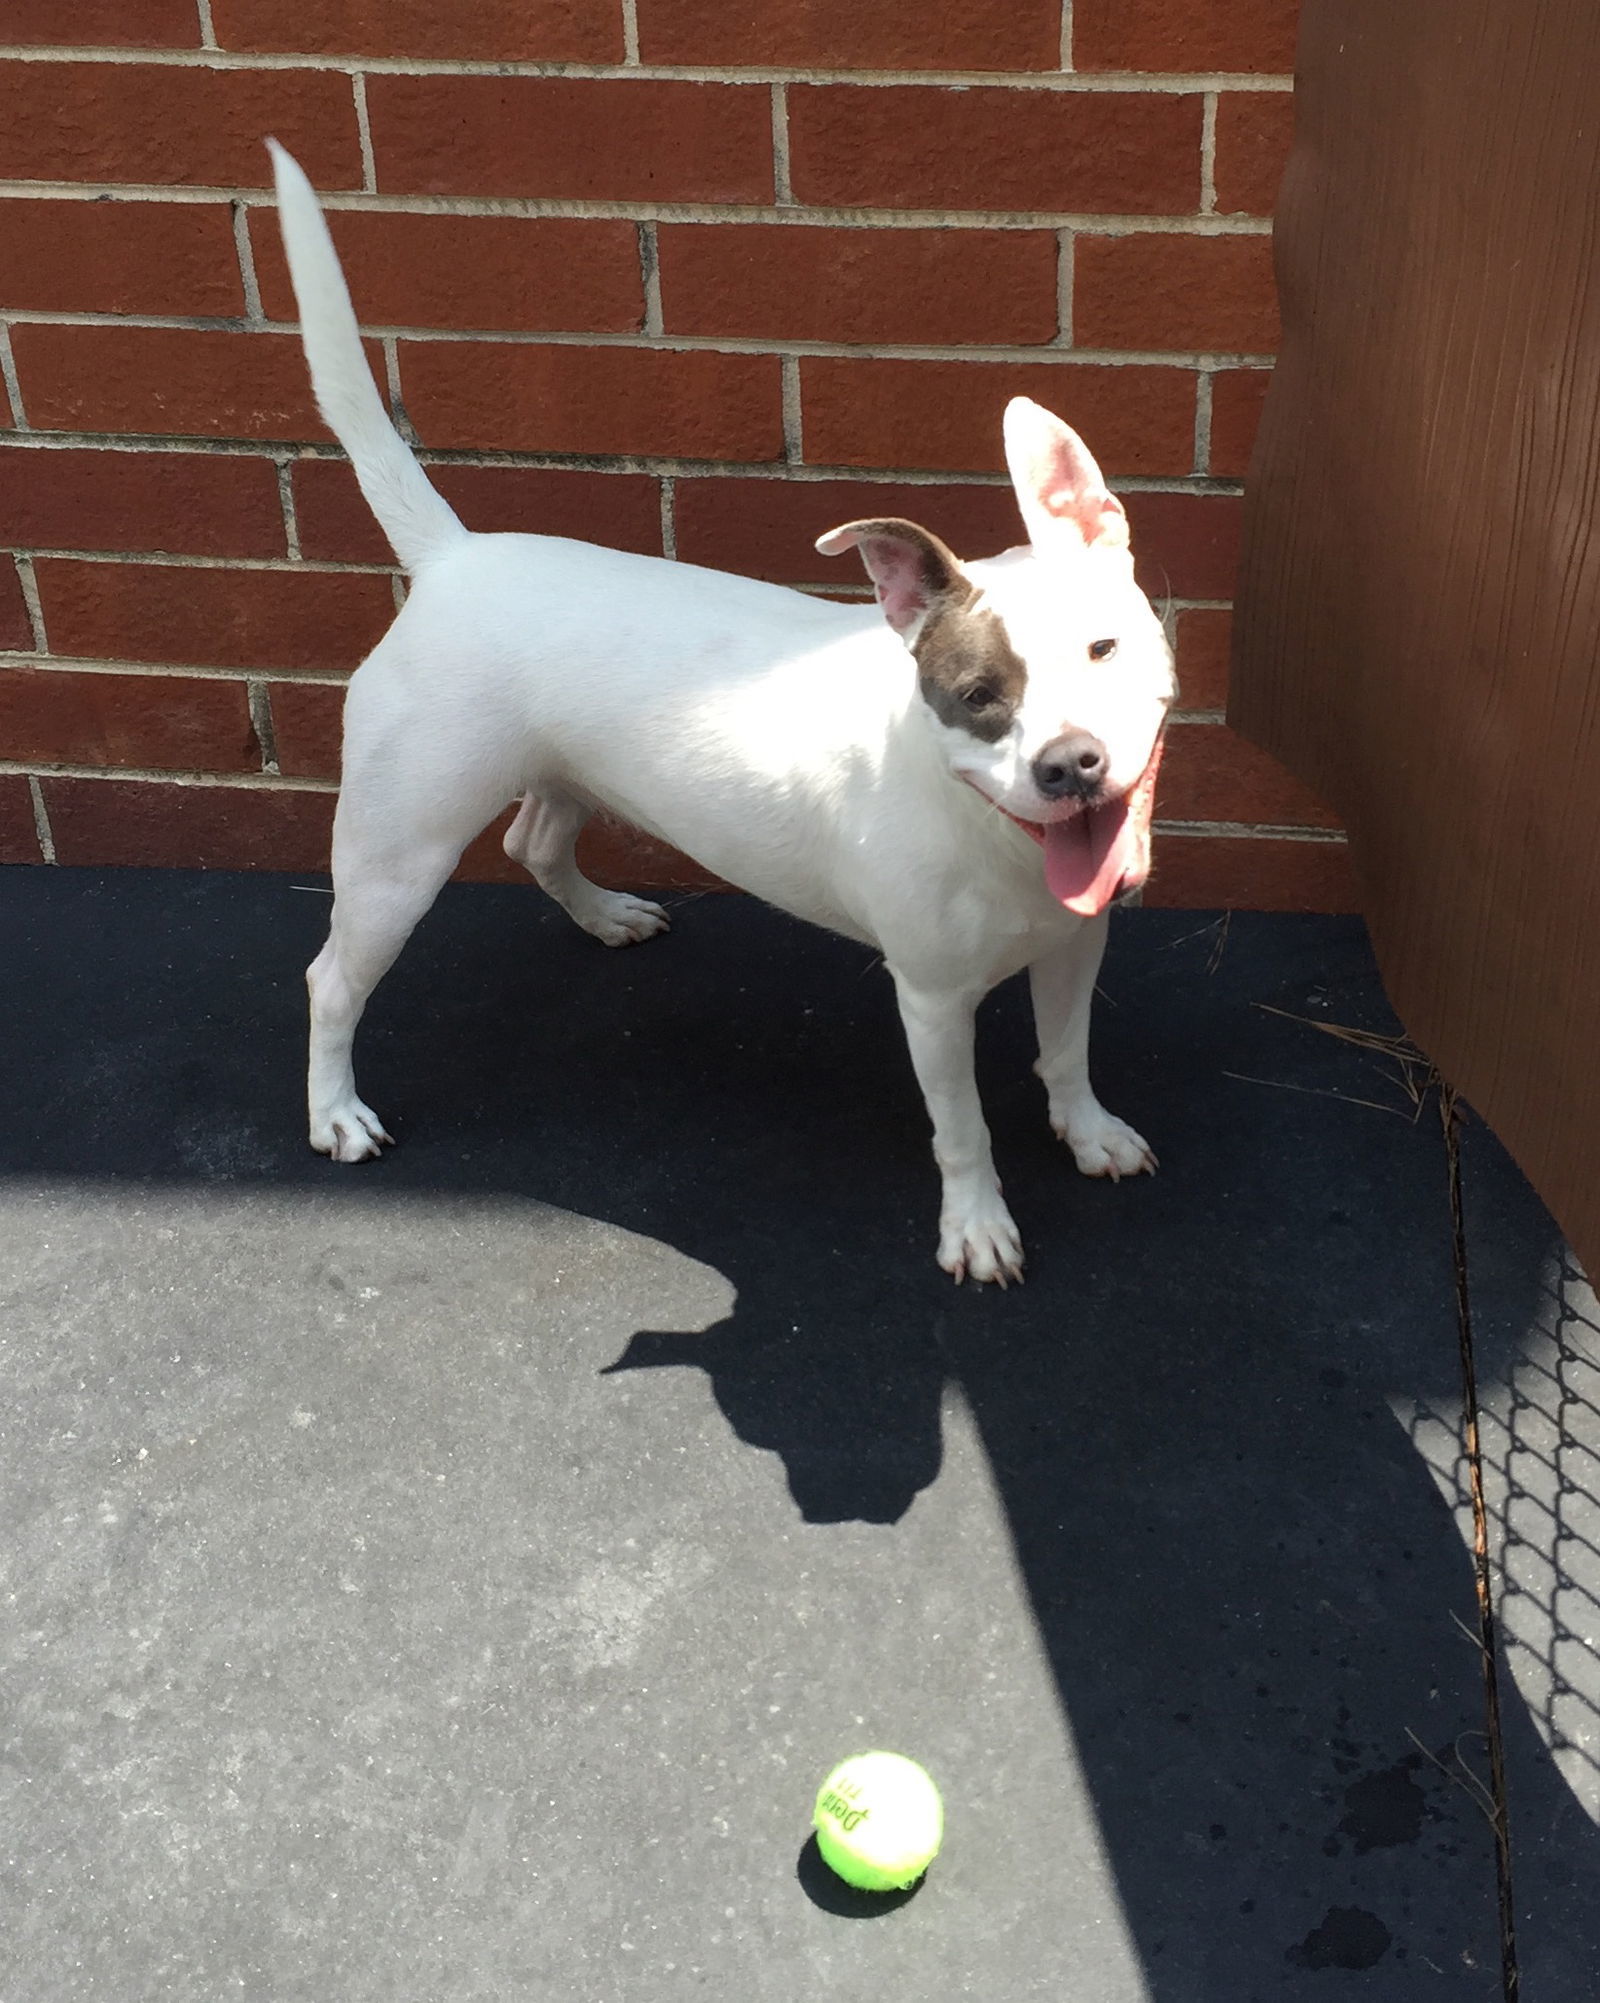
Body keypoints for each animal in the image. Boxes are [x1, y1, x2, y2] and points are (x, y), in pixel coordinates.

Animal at [272, 148, 1177, 1289]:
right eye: (979, 697)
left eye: (1104, 649)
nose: (1071, 766)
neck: (995, 834)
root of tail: (453, 555)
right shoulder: (930, 1002)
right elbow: (963, 1128)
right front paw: (975, 1225)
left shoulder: (1075, 941)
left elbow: (1066, 1051)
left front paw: (1087, 1130)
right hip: (399, 853)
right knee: (332, 977)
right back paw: (334, 1111)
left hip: (565, 769)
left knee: (534, 840)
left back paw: (603, 914)